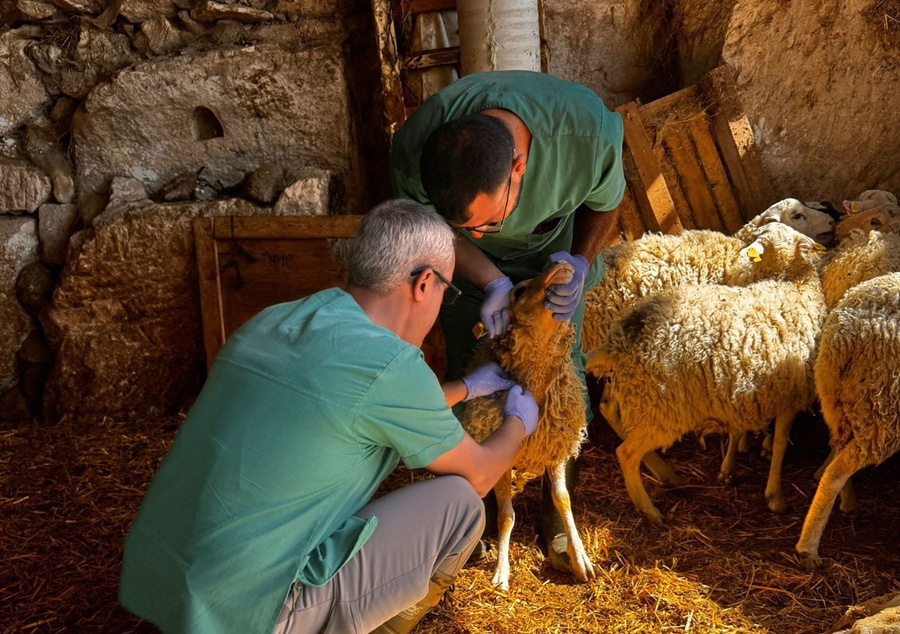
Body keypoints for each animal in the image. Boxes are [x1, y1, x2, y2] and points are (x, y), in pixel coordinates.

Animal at [462, 260, 595, 590]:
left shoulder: (557, 446)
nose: (559, 263)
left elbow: (562, 499)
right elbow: (507, 516)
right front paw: (501, 570)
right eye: (519, 291)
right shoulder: (500, 457)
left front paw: (579, 557)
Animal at [586, 223, 826, 523]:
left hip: (640, 394)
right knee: (626, 453)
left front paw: (729, 467)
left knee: (610, 410)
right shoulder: (789, 396)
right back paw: (651, 509)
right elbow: (781, 445)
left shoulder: (738, 387)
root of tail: (619, 338)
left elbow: (738, 429)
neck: (791, 282)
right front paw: (775, 497)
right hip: (662, 409)